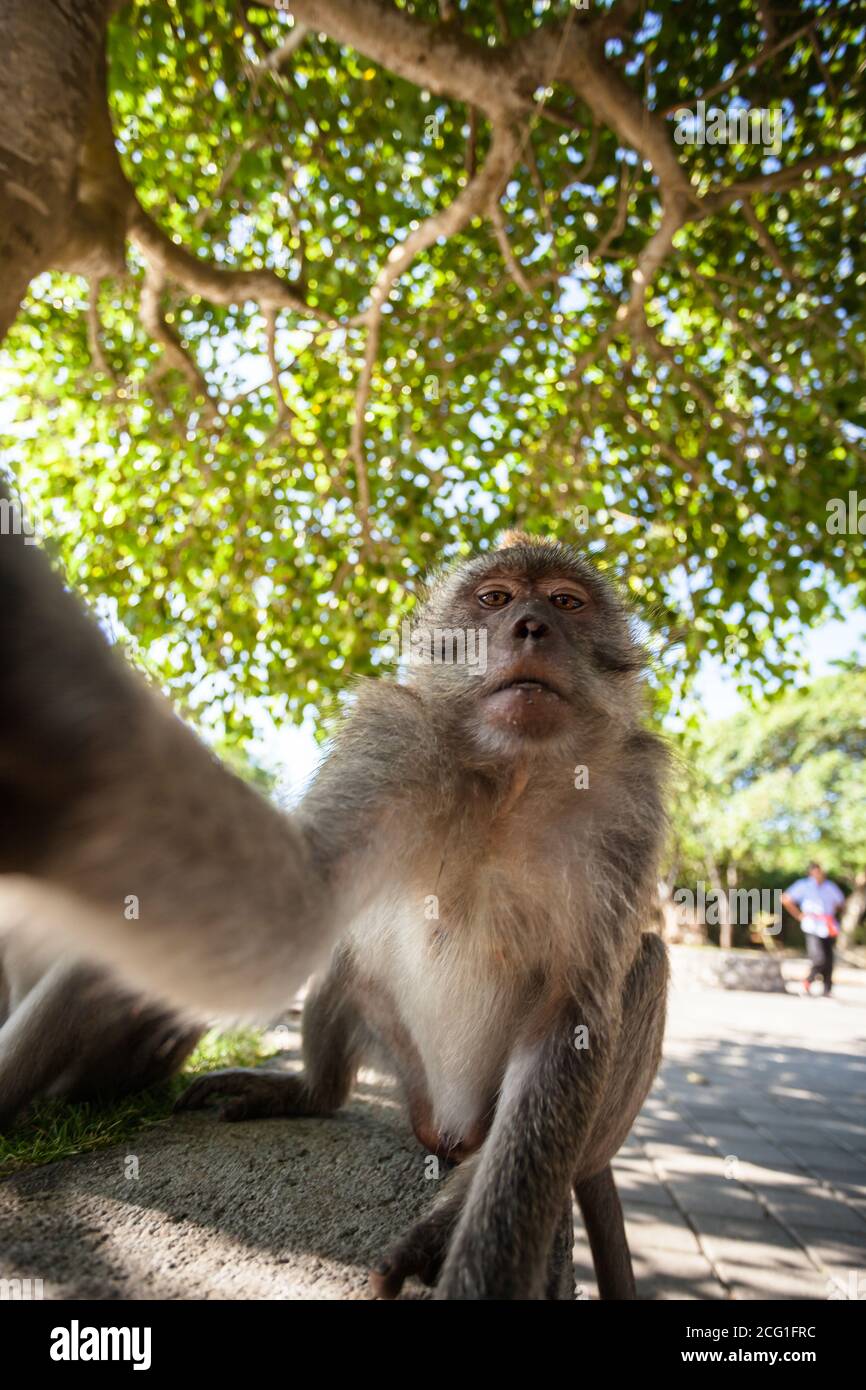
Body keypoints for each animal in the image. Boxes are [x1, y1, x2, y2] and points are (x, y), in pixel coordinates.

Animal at [0, 514, 670, 1301]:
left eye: (567, 603)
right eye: (496, 599)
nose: (531, 626)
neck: (512, 773)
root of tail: (442, 1124)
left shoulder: (629, 800)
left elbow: (573, 1015)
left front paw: (482, 1265)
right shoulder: (392, 743)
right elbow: (302, 901)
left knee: (646, 965)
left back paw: (453, 1206)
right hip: (399, 1057)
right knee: (345, 957)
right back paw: (309, 1091)